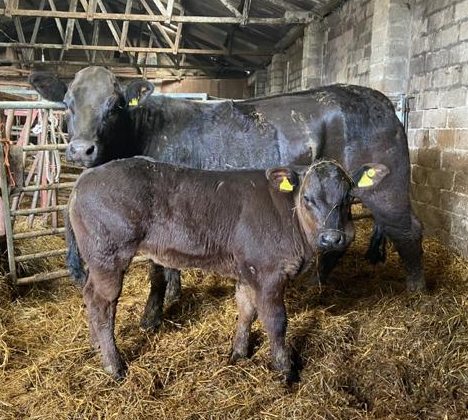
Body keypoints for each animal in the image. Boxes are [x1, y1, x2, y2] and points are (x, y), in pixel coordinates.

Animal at [28, 65, 424, 330]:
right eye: (66, 104)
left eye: (114, 106)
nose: (81, 150)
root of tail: (378, 98)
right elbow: (169, 265)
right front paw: (174, 294)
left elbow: (157, 270)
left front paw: (152, 316)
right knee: (342, 239)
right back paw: (315, 284)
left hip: (387, 188)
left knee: (408, 231)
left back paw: (417, 292)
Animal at [65, 158, 388, 380]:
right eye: (307, 198)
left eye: (348, 198)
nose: (332, 238)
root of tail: (84, 179)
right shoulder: (268, 273)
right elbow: (276, 321)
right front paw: (286, 369)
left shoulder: (248, 270)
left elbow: (246, 310)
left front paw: (239, 352)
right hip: (109, 256)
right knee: (102, 304)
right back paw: (114, 366)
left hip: (97, 260)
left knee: (89, 295)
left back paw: (95, 347)